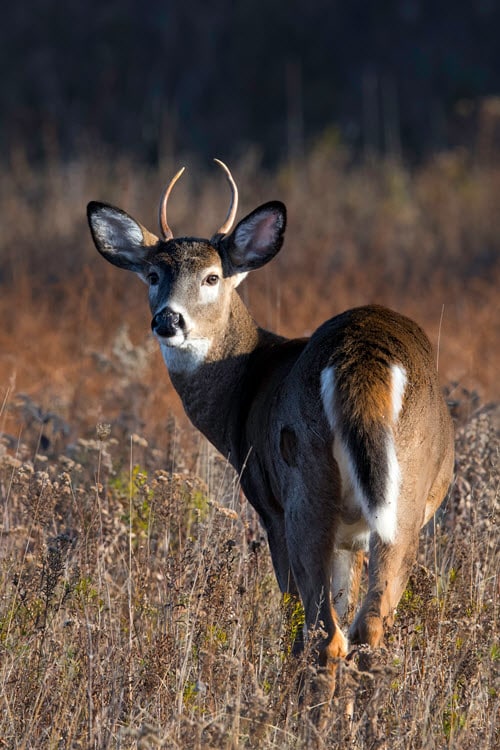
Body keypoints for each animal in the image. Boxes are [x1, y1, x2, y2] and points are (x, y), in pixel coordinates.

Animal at [88, 163, 456, 692]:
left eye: (212, 277)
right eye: (154, 274)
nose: (168, 320)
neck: (247, 386)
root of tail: (362, 358)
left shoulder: (268, 508)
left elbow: (293, 620)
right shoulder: (353, 534)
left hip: (304, 489)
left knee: (324, 634)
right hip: (404, 494)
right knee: (366, 629)